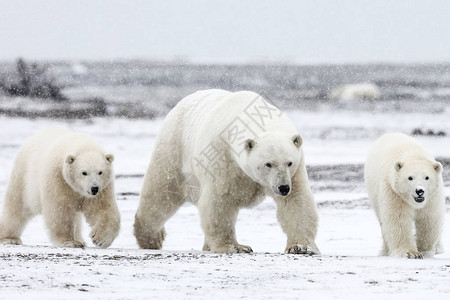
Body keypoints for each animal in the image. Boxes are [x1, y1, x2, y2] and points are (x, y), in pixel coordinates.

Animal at [134, 88, 320, 253]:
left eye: (289, 162)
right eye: (268, 164)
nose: (283, 188)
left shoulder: (295, 171)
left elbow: (296, 201)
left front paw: (301, 247)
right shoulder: (223, 158)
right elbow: (219, 201)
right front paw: (235, 247)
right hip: (175, 149)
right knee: (162, 193)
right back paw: (151, 238)